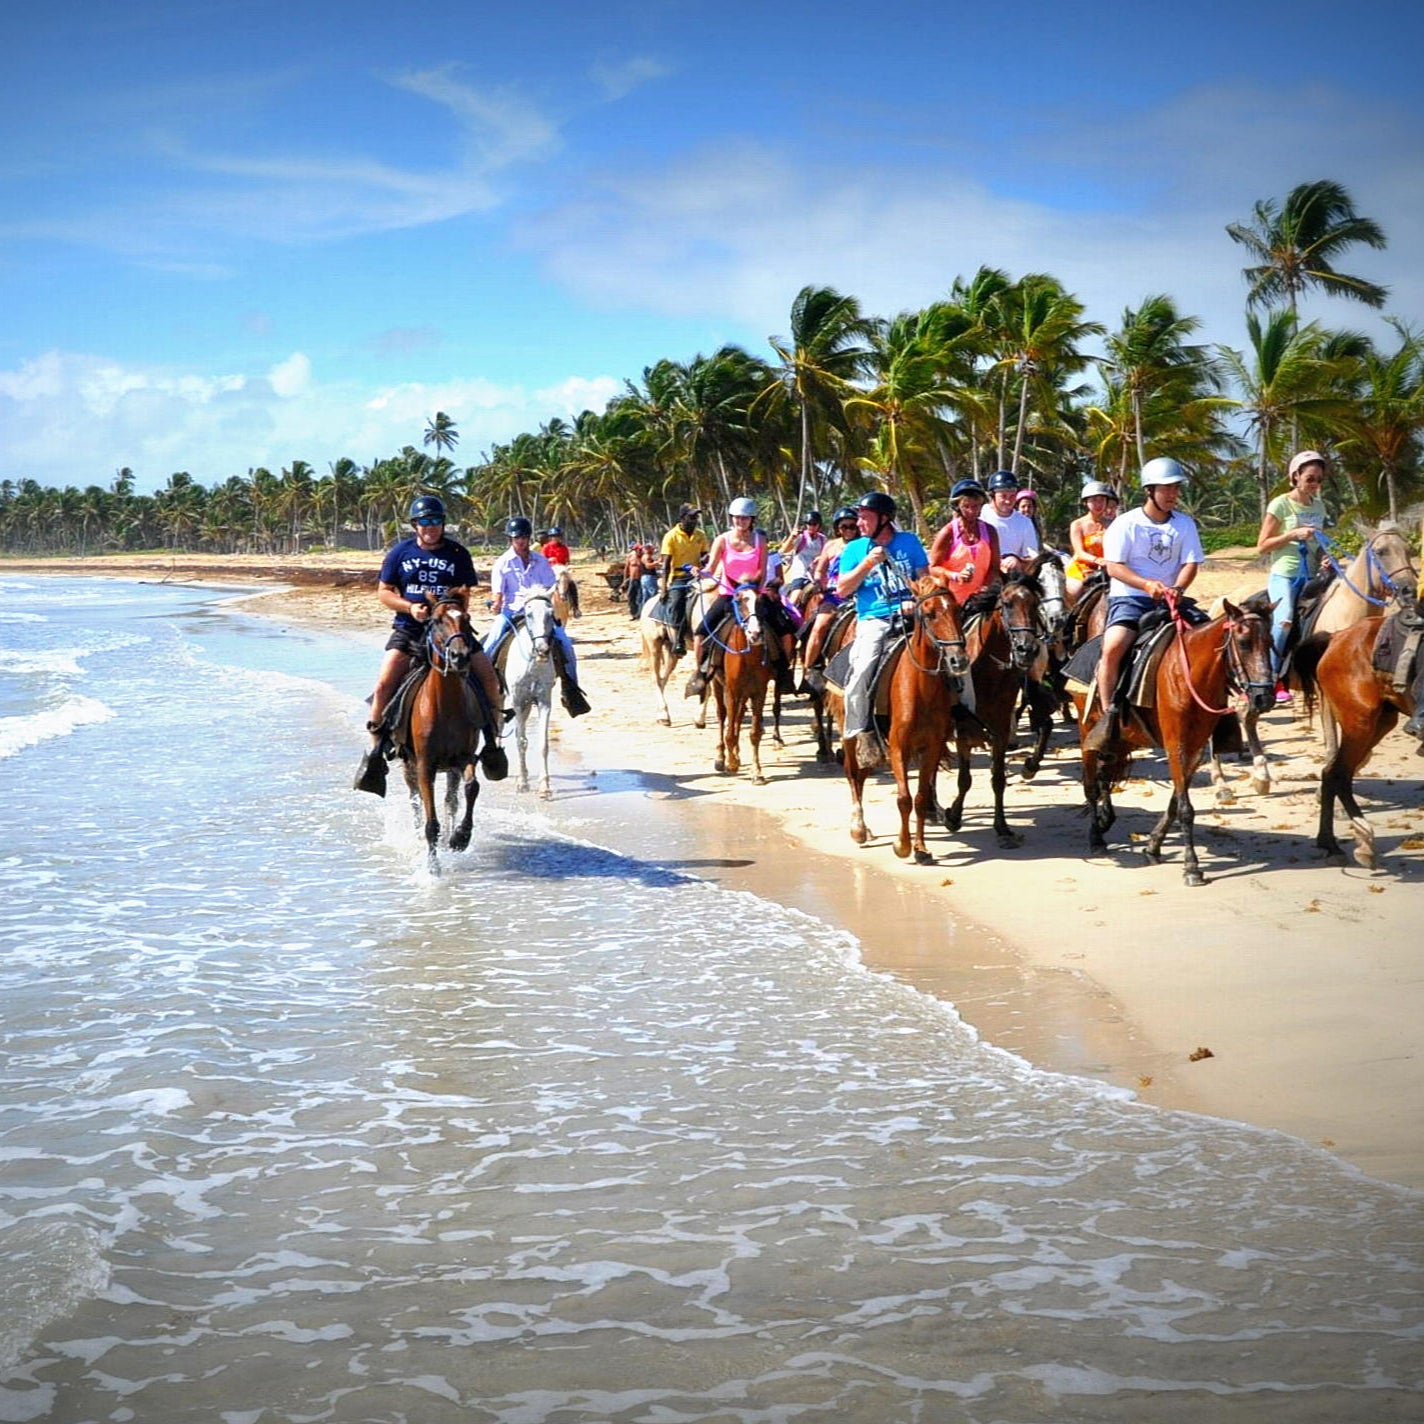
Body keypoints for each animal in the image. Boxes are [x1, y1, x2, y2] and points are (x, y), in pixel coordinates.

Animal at [401, 595, 489, 871]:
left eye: (467, 619)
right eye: (438, 620)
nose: (459, 656)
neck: (446, 706)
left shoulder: (463, 758)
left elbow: (471, 788)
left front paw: (460, 837)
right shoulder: (424, 765)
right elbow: (431, 821)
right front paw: (433, 868)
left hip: (449, 769)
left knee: (451, 800)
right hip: (409, 765)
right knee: (415, 799)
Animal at [504, 586, 558, 791]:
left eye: (551, 614)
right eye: (529, 614)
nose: (542, 650)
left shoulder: (544, 702)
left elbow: (543, 744)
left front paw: (544, 785)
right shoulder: (517, 702)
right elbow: (520, 741)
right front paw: (522, 782)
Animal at [945, 572, 1048, 848]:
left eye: (1035, 604)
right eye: (1008, 604)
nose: (1027, 649)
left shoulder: (1000, 729)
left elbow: (998, 778)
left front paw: (1002, 826)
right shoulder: (964, 732)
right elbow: (964, 779)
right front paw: (953, 817)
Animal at [1070, 595, 1275, 882]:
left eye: (1270, 643)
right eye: (1244, 643)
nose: (1264, 697)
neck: (1189, 675)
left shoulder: (1195, 746)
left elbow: (1176, 801)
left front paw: (1153, 845)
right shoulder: (1175, 744)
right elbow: (1185, 808)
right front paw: (1191, 866)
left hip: (1119, 739)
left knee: (1105, 774)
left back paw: (1105, 819)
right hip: (1085, 727)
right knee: (1090, 784)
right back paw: (1096, 838)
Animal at [1304, 609, 1424, 865]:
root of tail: (1337, 637)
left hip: (1380, 722)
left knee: (1334, 773)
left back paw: (1332, 842)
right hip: (1359, 722)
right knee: (1337, 773)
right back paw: (1356, 843)